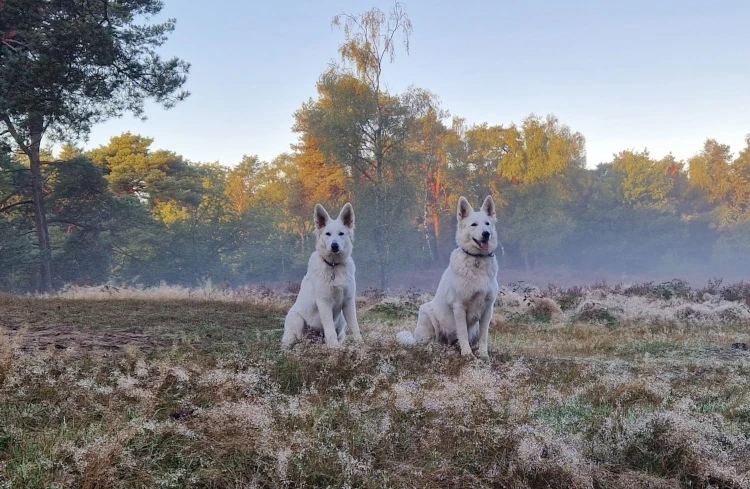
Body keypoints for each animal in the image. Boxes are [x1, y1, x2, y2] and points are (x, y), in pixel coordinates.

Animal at [282, 203, 364, 350]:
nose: (334, 245)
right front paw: (334, 348)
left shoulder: (348, 302)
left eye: (341, 233)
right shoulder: (324, 303)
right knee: (295, 340)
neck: (334, 266)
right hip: (296, 319)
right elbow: (330, 330)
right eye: (328, 234)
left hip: (341, 321)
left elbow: (355, 327)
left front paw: (360, 344)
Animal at [400, 194, 500, 358]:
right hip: (427, 312)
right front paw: (467, 354)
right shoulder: (459, 306)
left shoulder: (487, 308)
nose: (486, 233)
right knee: (430, 340)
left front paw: (483, 355)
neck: (477, 260)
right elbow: (462, 332)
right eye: (474, 224)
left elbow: (484, 335)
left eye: (487, 224)